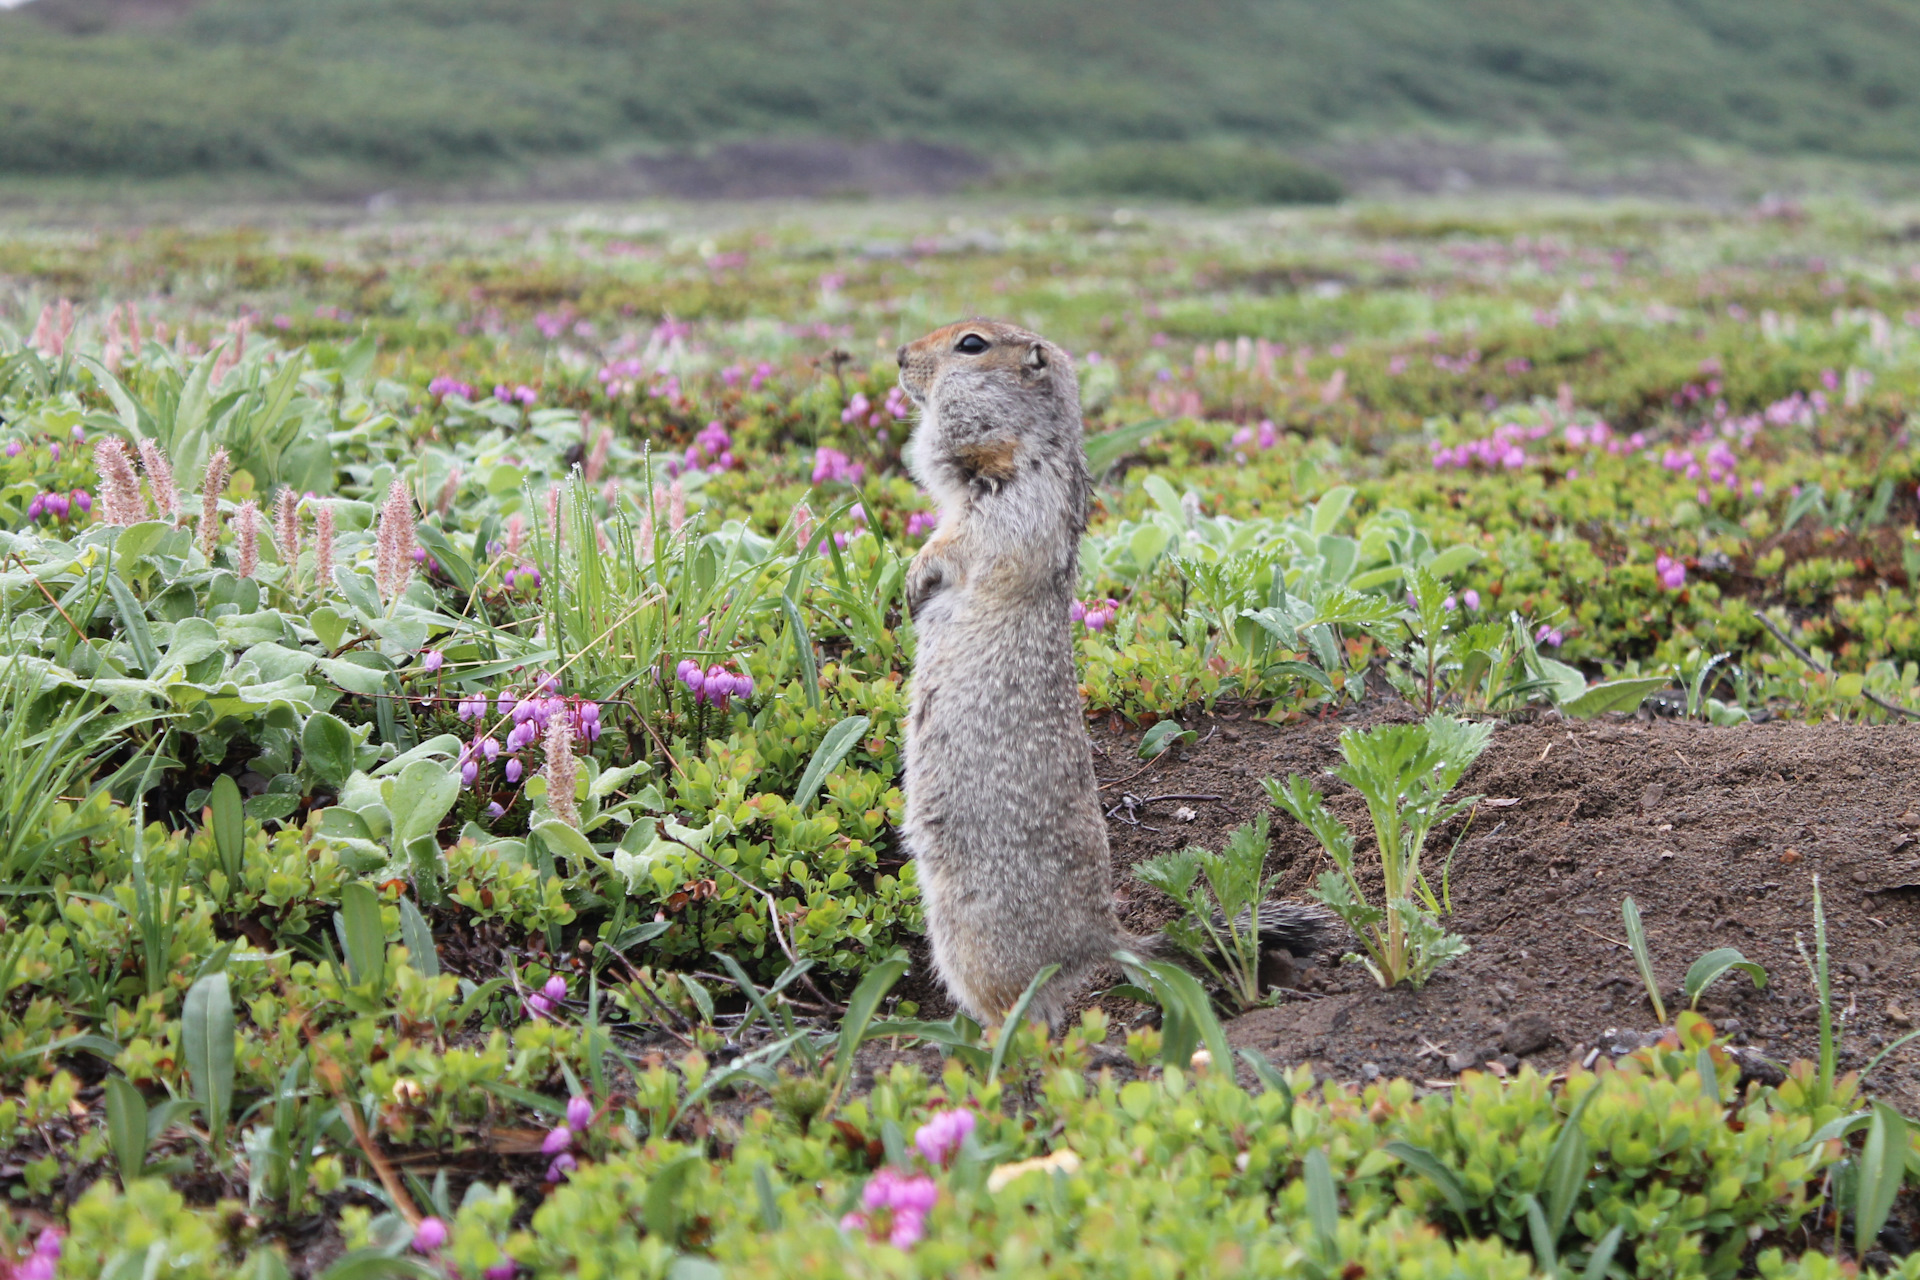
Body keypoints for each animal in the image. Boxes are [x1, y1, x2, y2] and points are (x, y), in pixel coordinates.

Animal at [890, 320, 1328, 1028]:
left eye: (971, 344)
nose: (900, 355)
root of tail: (1103, 938)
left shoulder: (1012, 505)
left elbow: (962, 544)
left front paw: (914, 575)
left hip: (973, 941)